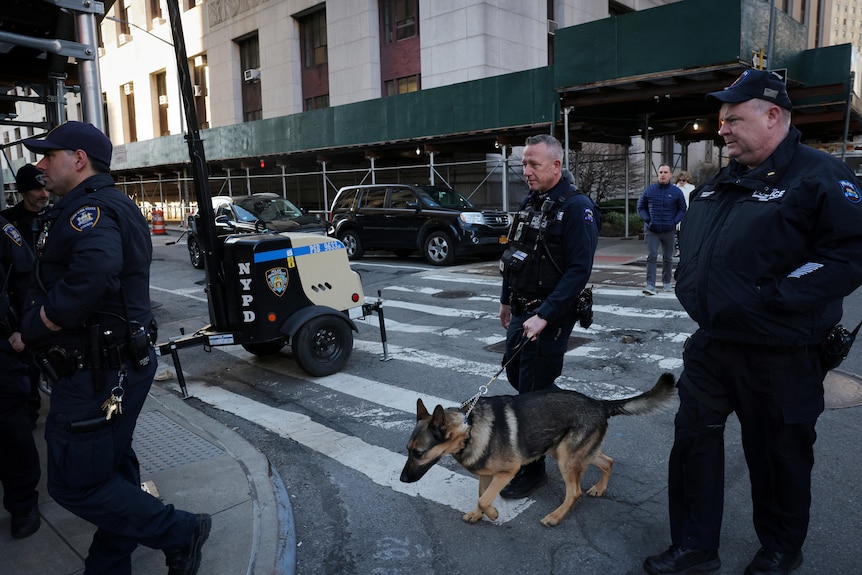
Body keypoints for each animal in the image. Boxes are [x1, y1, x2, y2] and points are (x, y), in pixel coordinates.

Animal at [402, 374, 680, 528]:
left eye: (419, 453)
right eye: (408, 450)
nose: (402, 479)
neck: (468, 427)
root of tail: (599, 403)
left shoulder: (507, 472)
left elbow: (485, 498)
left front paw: (493, 513)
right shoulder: (485, 474)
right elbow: (481, 495)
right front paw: (478, 514)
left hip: (566, 458)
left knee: (575, 492)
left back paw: (555, 517)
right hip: (568, 452)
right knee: (607, 461)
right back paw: (600, 488)